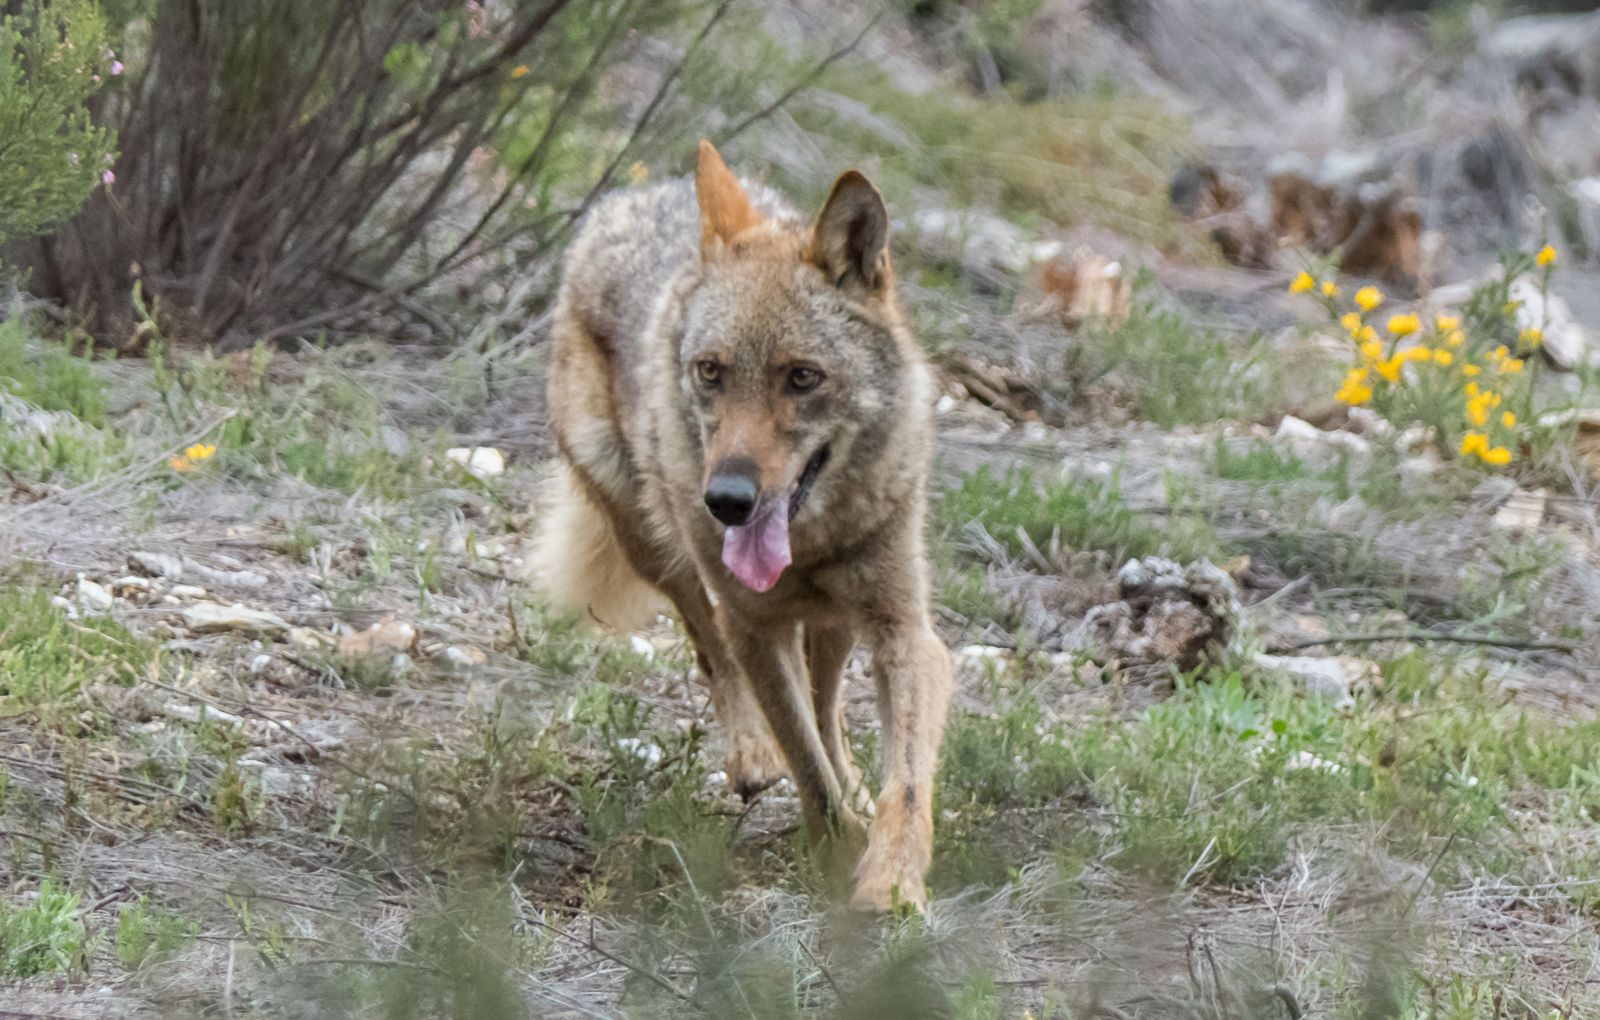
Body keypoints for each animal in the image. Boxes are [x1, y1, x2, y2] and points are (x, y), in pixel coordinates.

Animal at [534, 141, 952, 911]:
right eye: (712, 371)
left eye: (802, 377)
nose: (726, 499)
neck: (812, 542)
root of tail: (639, 195)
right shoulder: (753, 625)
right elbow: (806, 768)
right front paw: (836, 851)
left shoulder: (904, 632)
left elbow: (903, 784)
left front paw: (890, 883)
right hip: (658, 548)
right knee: (713, 653)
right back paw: (754, 758)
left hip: (835, 623)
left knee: (827, 708)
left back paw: (852, 784)